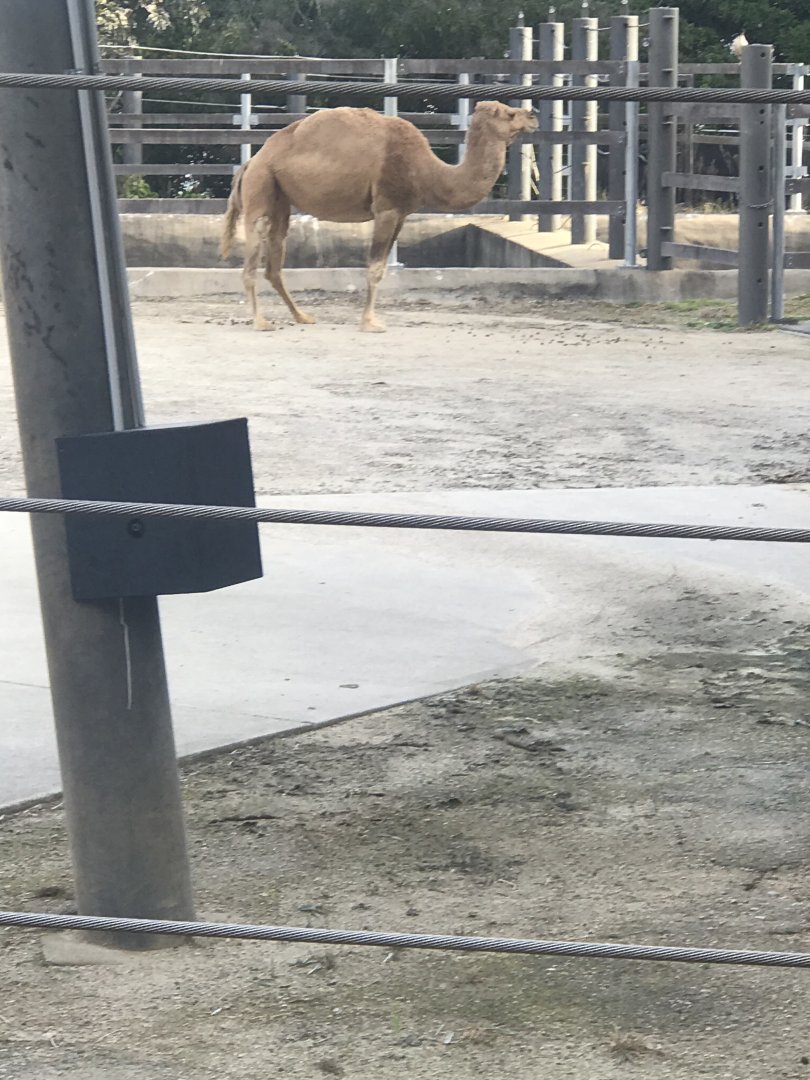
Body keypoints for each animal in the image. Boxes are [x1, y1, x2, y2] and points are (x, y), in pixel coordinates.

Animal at [220, 101, 538, 332]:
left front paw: (371, 319)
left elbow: (383, 268)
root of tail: (252, 161)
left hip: (280, 196)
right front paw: (370, 323)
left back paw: (303, 316)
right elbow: (374, 268)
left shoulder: (401, 213)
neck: (428, 172)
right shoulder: (386, 209)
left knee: (275, 258)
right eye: (510, 113)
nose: (533, 116)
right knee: (254, 250)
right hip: (261, 185)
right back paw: (261, 322)